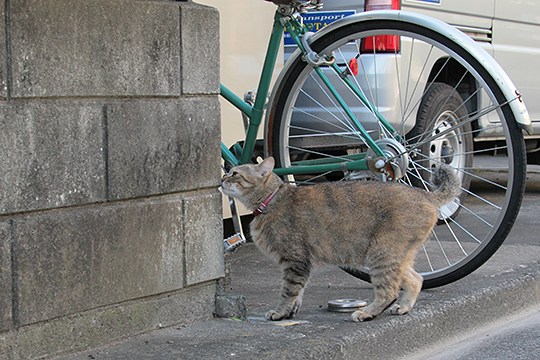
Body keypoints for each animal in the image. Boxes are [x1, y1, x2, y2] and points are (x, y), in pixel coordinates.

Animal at [221, 156, 462, 322]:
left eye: (234, 173)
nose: (222, 178)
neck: (271, 200)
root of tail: (424, 194)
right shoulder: (300, 264)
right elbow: (298, 291)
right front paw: (291, 310)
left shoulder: (295, 261)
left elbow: (288, 291)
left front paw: (280, 312)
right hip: (396, 256)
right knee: (415, 279)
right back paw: (403, 307)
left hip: (381, 253)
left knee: (388, 291)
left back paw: (367, 312)